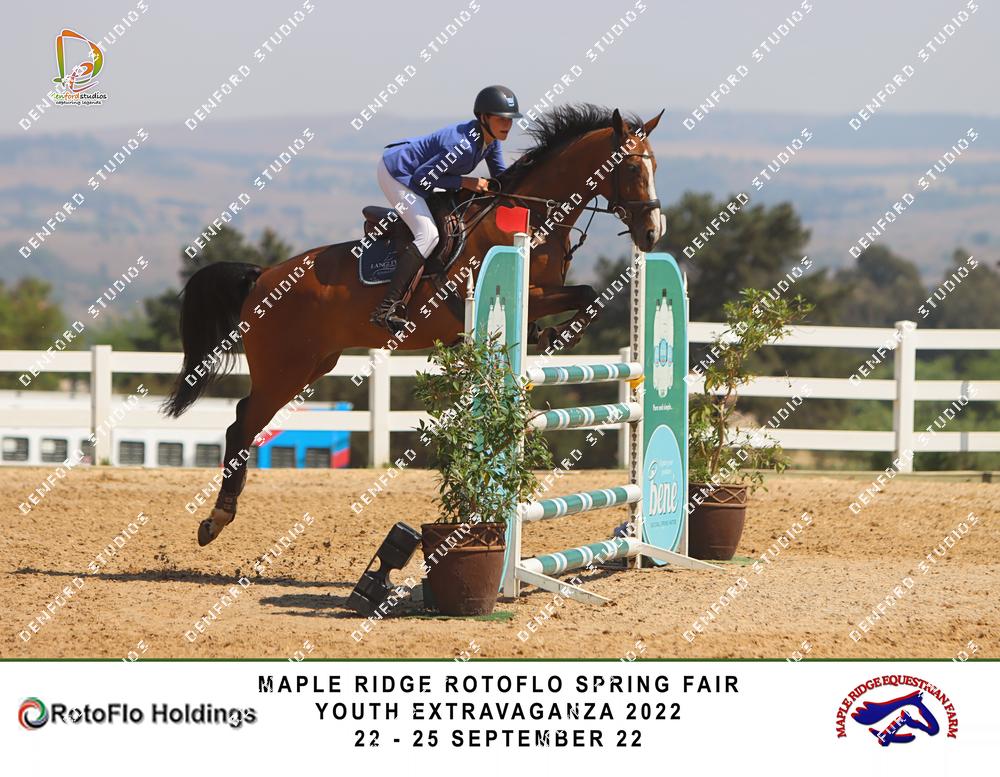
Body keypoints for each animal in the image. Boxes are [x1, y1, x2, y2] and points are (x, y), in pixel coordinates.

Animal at [164, 103, 664, 544]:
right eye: (631, 169)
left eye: (655, 165)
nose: (652, 234)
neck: (537, 215)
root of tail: (262, 276)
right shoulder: (517, 289)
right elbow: (584, 295)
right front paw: (557, 334)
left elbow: (586, 294)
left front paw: (552, 334)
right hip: (283, 369)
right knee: (242, 425)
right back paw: (216, 519)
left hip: (313, 365)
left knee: (245, 421)